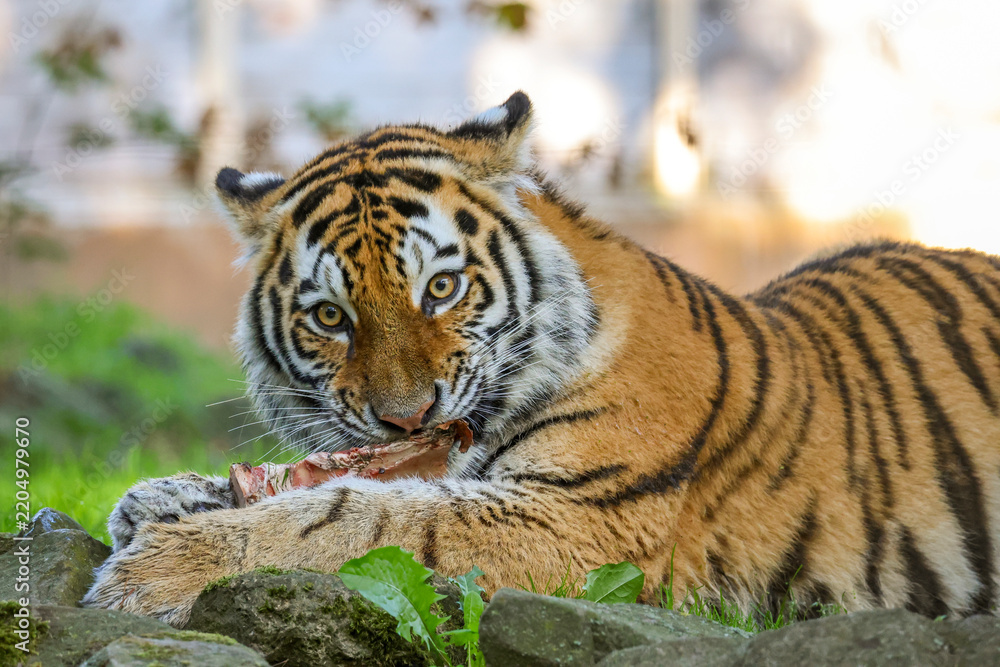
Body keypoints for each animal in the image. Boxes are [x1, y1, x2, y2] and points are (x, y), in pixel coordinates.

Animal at [84, 91, 1000, 627]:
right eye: (330, 317)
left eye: (442, 287)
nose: (405, 417)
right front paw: (153, 501)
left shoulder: (581, 518)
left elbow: (358, 518)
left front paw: (155, 568)